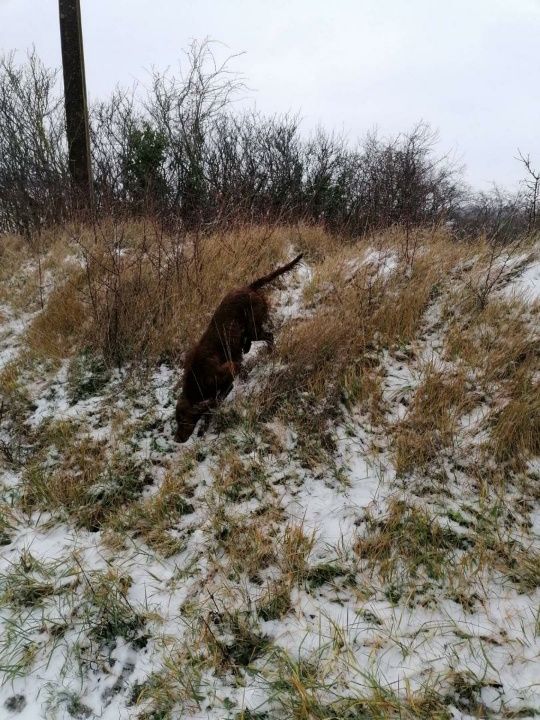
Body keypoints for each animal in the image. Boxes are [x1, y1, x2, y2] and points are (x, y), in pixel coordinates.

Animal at [176, 253, 304, 444]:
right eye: (177, 420)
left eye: (183, 420)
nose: (176, 439)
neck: (198, 377)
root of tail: (249, 287)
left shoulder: (229, 370)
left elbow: (216, 400)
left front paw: (204, 426)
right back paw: (247, 347)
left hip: (254, 325)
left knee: (269, 336)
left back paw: (269, 352)